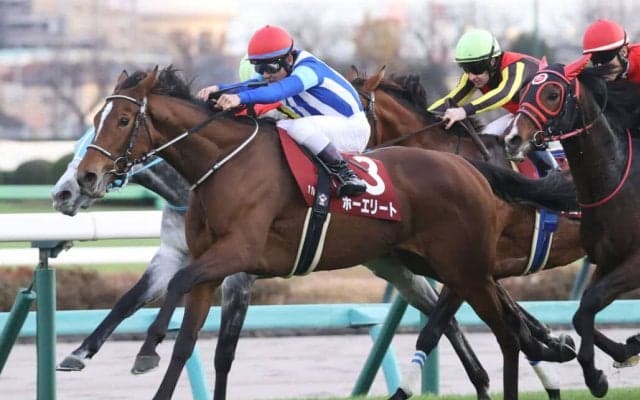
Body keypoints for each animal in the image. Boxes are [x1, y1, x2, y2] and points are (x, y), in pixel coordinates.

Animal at [74, 66, 575, 400]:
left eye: (122, 121)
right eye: (96, 120)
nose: (85, 177)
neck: (225, 165)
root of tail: (468, 168)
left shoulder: (238, 253)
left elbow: (178, 284)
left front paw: (146, 349)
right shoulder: (210, 267)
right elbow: (185, 342)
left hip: (463, 266)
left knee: (503, 332)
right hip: (437, 263)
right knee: (503, 323)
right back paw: (550, 349)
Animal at [502, 56, 640, 397]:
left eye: (552, 94)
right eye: (524, 90)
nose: (513, 139)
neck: (615, 177)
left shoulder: (636, 262)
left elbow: (587, 304)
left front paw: (595, 375)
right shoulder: (607, 261)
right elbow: (581, 312)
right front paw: (621, 354)